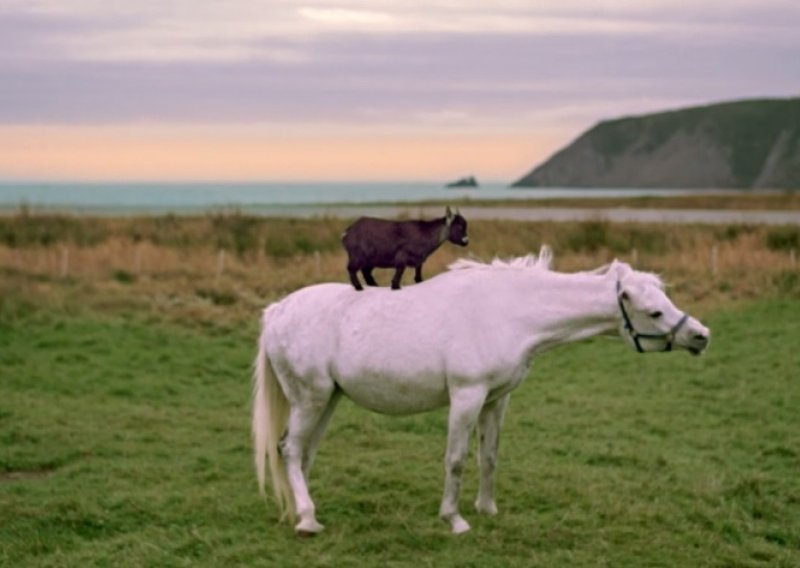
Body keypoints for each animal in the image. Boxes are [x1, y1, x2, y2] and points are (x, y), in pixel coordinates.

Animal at [253, 246, 708, 536]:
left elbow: (489, 456)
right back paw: (308, 520)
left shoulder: (495, 399)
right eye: (654, 312)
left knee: (301, 454)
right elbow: (455, 459)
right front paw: (454, 520)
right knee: (290, 450)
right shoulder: (466, 397)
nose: (702, 336)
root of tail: (277, 311)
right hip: (310, 399)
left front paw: (487, 509)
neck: (507, 312)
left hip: (326, 400)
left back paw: (302, 512)